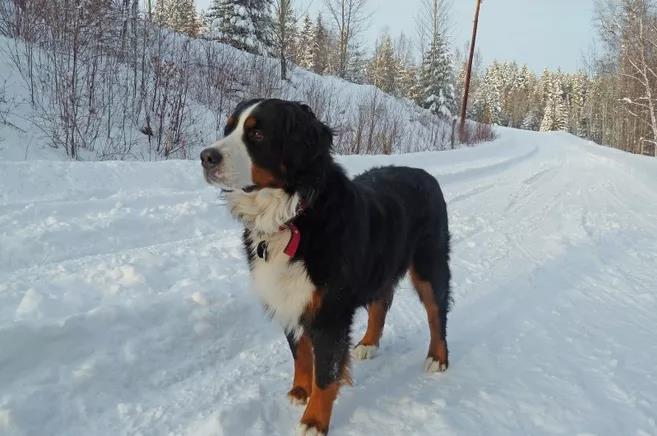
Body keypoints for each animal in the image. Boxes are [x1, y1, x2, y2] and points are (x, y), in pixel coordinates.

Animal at [200, 99, 452, 436]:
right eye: (229, 128)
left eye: (256, 134)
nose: (206, 157)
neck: (293, 217)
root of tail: (425, 174)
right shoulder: (290, 297)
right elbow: (301, 354)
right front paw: (299, 391)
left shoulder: (330, 311)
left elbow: (326, 371)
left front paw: (314, 420)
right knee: (381, 302)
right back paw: (368, 344)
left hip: (429, 263)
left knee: (437, 313)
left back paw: (438, 357)